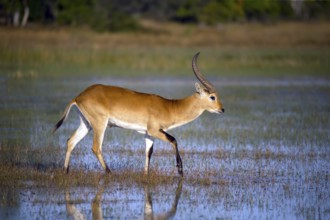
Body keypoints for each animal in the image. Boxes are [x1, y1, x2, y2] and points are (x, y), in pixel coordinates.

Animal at [54, 52, 224, 176]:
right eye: (212, 97)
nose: (222, 109)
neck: (170, 107)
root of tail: (79, 96)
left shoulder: (148, 133)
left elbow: (149, 153)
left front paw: (146, 174)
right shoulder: (155, 130)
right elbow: (174, 140)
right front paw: (180, 170)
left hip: (86, 124)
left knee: (71, 141)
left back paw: (65, 171)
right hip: (100, 124)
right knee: (96, 147)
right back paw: (109, 172)